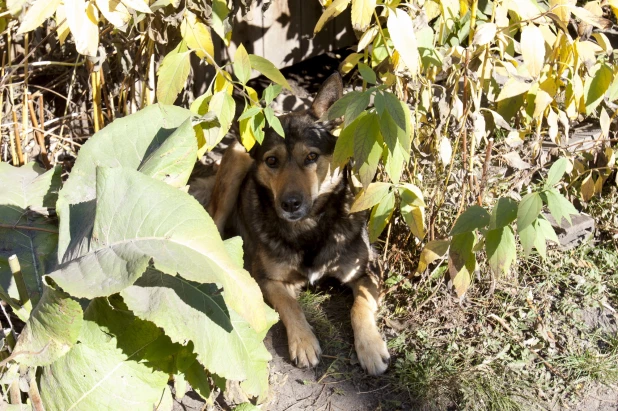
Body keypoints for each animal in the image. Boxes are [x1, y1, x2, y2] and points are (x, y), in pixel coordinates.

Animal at [207, 73, 390, 376]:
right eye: (272, 161)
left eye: (311, 157)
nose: (290, 204)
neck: (309, 228)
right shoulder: (268, 279)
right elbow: (290, 305)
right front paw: (303, 342)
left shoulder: (367, 272)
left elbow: (360, 305)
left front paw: (371, 347)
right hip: (234, 169)